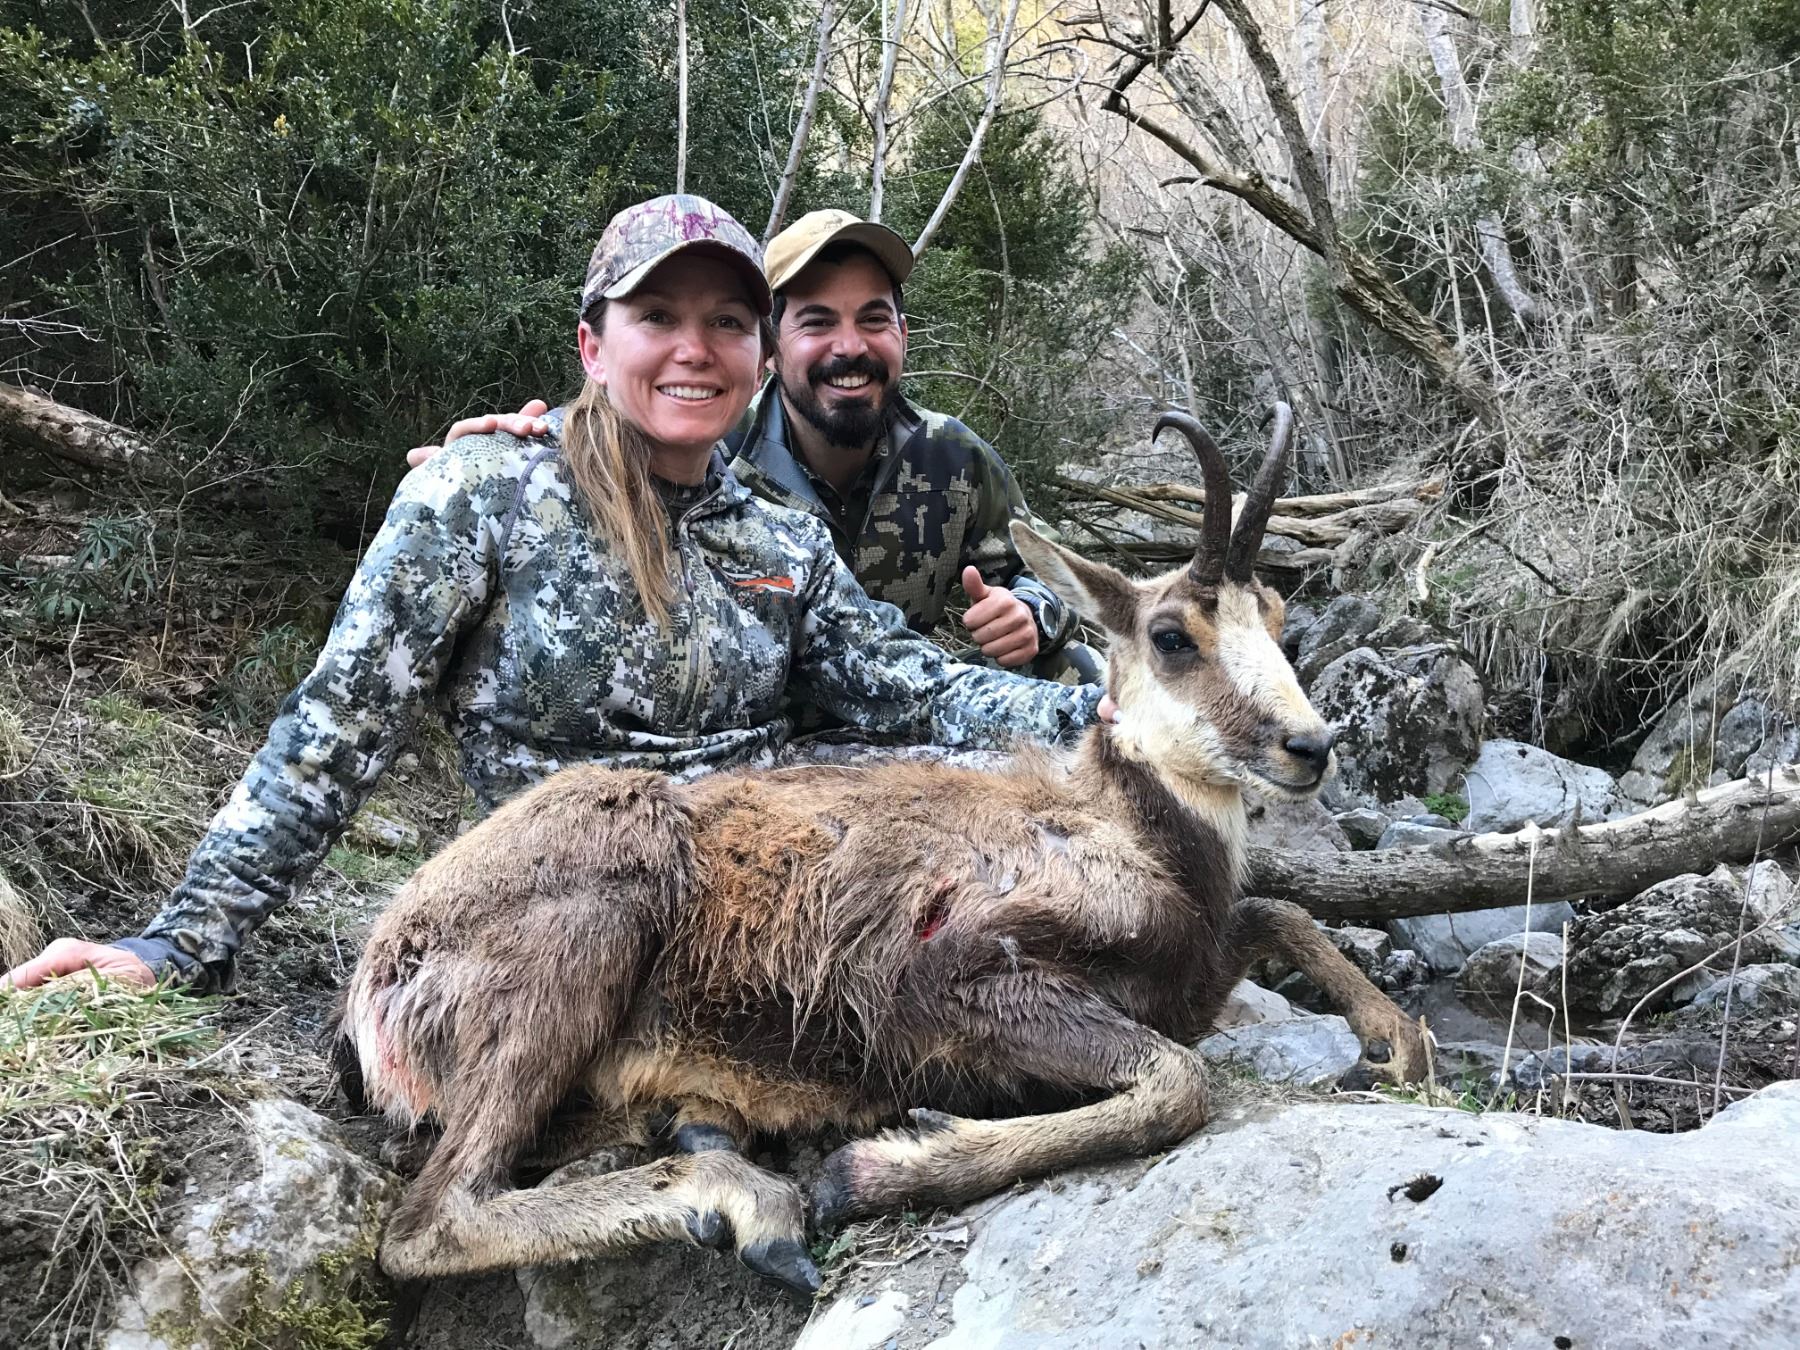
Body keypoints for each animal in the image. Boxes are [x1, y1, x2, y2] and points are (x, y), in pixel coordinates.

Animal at [335, 405, 1431, 1298]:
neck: (1128, 836)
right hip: (583, 937)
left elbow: (1276, 914)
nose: (1310, 747)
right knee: (430, 1219)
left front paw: (1396, 1043)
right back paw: (749, 1203)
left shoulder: (1193, 961)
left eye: (1278, 617)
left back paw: (700, 1133)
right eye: (1171, 635)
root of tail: (381, 979)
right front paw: (874, 1168)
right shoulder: (947, 979)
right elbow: (1178, 1080)